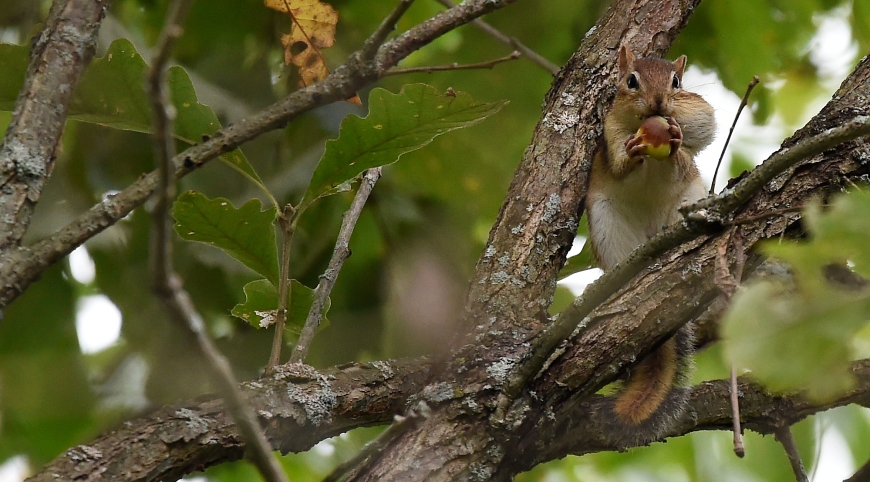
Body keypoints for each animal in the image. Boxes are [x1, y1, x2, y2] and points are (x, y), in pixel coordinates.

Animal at [585, 45, 716, 446]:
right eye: (631, 81)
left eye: (676, 82)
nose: (659, 103)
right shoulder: (609, 132)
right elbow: (618, 162)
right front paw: (632, 152)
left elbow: (690, 143)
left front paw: (674, 140)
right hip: (608, 224)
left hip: (687, 200)